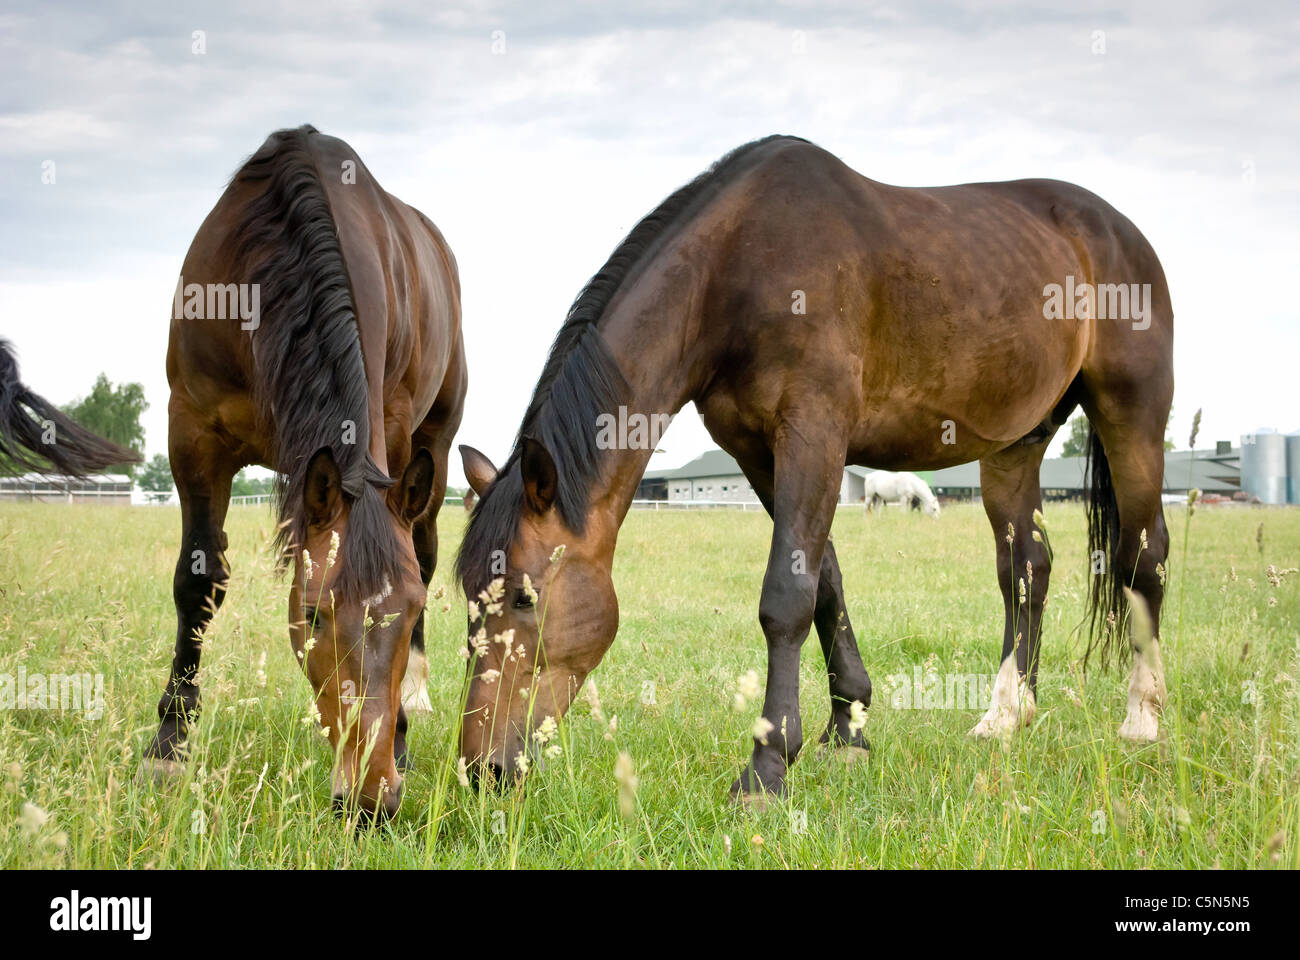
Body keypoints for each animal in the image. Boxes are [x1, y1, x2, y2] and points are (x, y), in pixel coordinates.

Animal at [142, 125, 465, 816]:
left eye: (407, 611)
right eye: (314, 615)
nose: (371, 799)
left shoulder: (393, 433)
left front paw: (400, 735)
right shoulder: (192, 434)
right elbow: (197, 580)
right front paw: (169, 743)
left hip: (436, 443)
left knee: (427, 548)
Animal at [460, 132, 1180, 790]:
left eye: (524, 596)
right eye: (468, 596)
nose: (481, 768)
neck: (740, 266)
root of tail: (1117, 230)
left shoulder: (814, 432)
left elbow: (786, 597)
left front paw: (768, 764)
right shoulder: (758, 451)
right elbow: (824, 578)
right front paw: (848, 728)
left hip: (1132, 414)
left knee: (1144, 555)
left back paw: (1142, 720)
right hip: (1015, 445)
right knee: (1026, 569)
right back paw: (1005, 716)